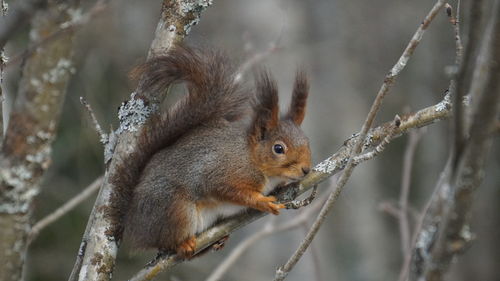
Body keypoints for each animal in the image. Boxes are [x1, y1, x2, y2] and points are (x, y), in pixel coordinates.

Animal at [110, 44, 312, 258]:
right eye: (278, 148)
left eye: (307, 141)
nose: (306, 170)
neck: (251, 157)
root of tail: (133, 221)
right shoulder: (223, 172)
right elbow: (229, 190)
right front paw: (263, 202)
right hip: (175, 209)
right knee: (166, 242)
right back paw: (183, 244)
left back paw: (219, 241)